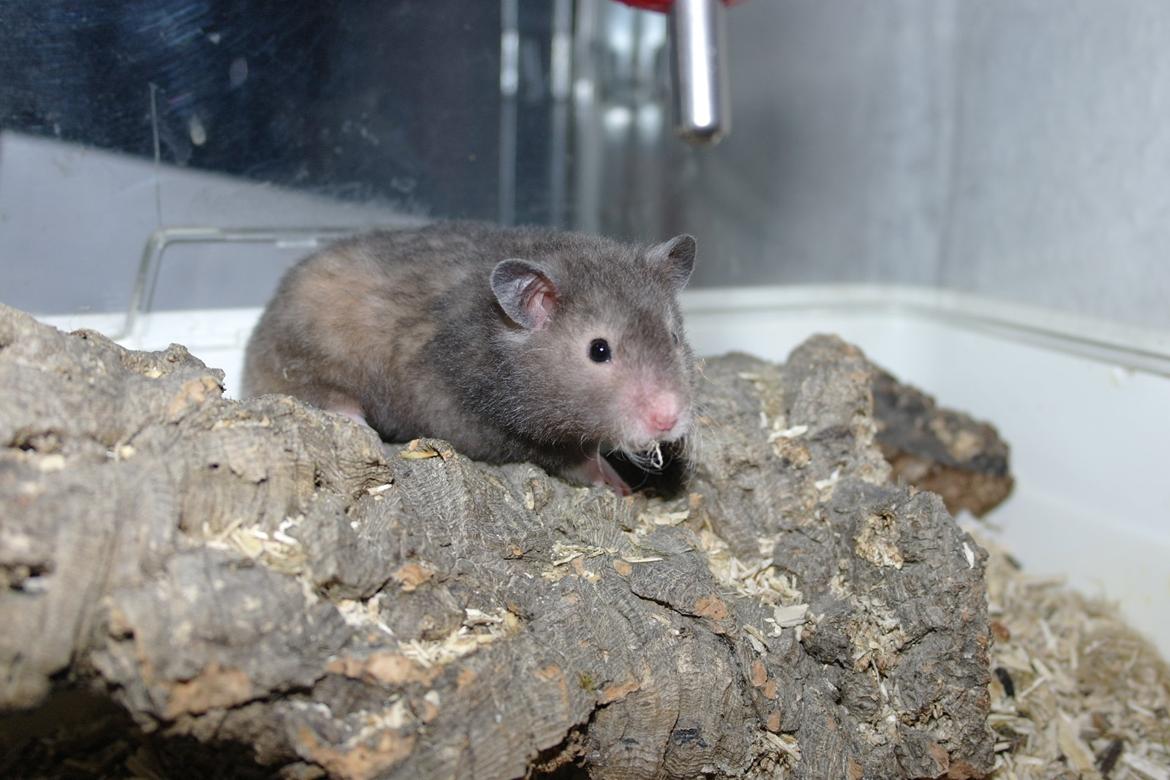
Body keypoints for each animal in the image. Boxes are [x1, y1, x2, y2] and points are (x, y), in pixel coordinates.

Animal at [241, 221, 697, 494]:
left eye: (674, 337)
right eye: (599, 350)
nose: (668, 418)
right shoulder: (479, 423)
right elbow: (571, 457)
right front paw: (618, 484)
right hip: (301, 356)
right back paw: (356, 421)